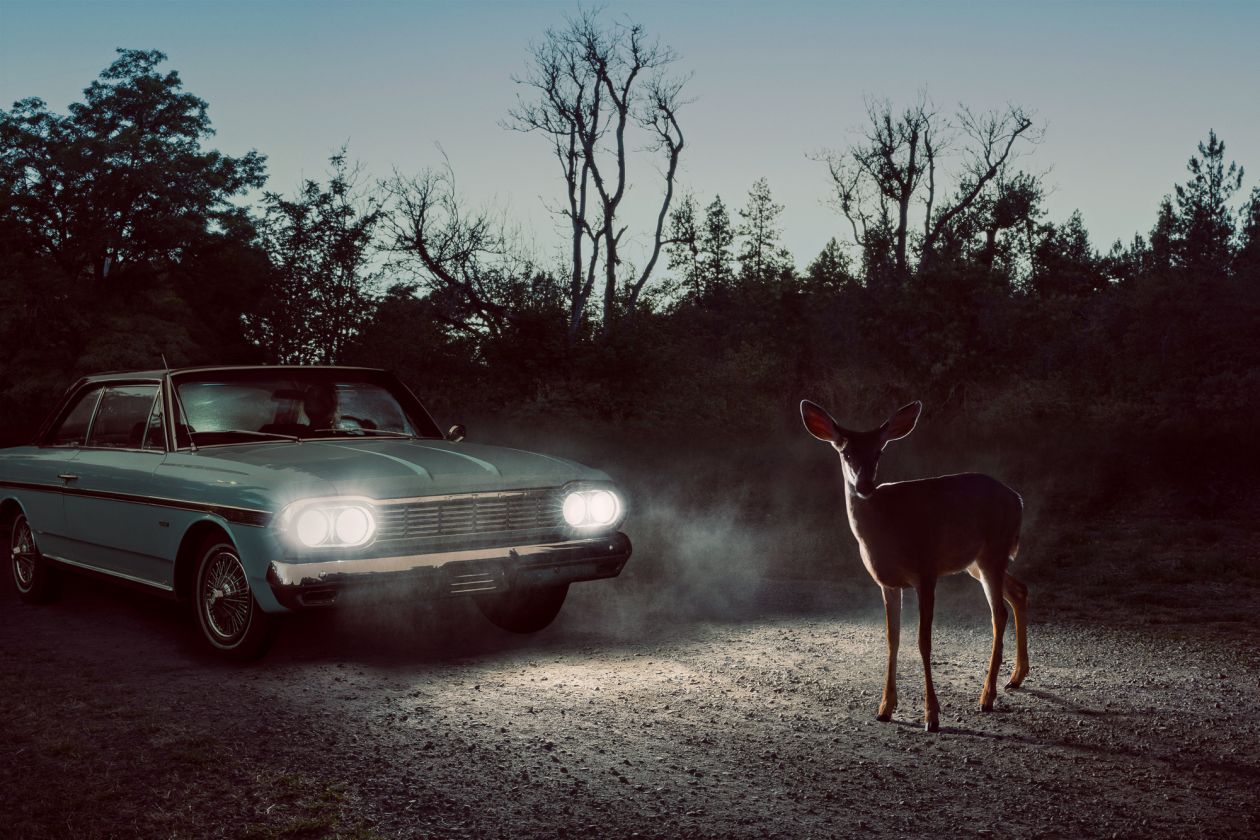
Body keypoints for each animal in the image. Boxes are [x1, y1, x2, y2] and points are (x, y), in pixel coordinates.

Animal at [799, 399, 1029, 732]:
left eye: (879, 452)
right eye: (845, 452)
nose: (865, 485)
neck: (886, 527)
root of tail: (1018, 499)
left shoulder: (927, 571)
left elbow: (924, 641)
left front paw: (931, 716)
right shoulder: (887, 583)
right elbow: (892, 639)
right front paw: (884, 708)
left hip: (992, 554)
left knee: (998, 613)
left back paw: (987, 696)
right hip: (976, 562)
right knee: (1019, 591)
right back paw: (1017, 677)